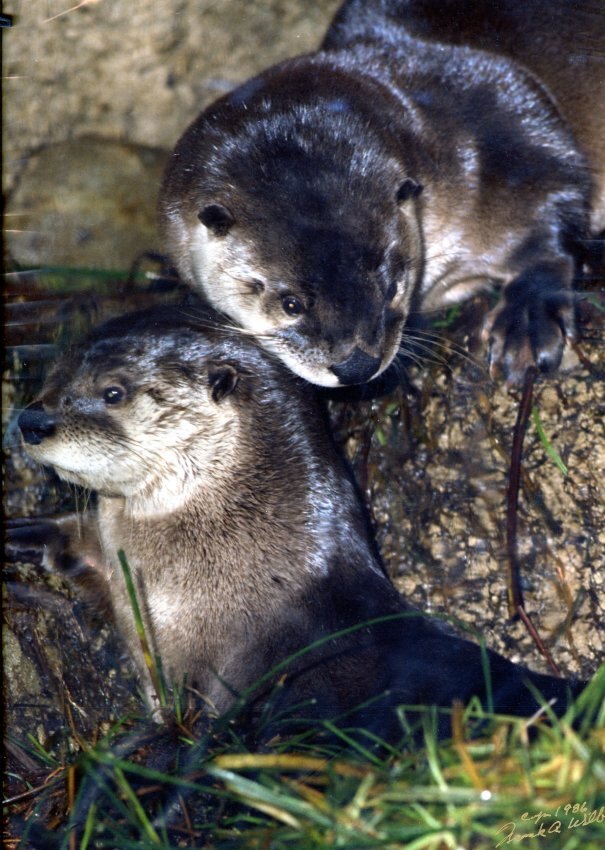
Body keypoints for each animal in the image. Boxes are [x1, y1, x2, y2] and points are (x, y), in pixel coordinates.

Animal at [158, 0, 600, 388]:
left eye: (392, 287)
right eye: (291, 303)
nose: (356, 366)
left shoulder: (502, 123)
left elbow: (553, 202)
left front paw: (528, 319)